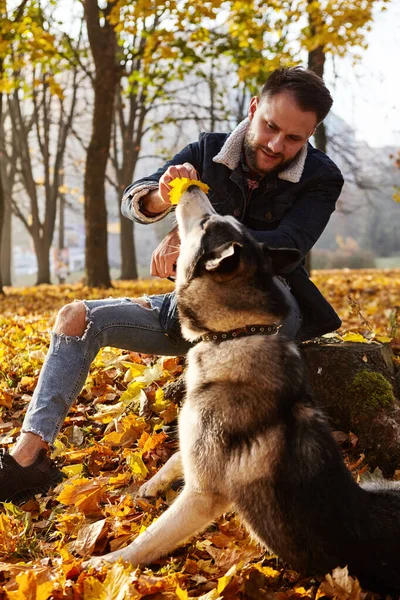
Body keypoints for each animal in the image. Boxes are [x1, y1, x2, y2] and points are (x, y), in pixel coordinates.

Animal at [86, 189, 400, 596]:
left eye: (207, 223)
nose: (191, 188)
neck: (236, 336)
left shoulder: (203, 496)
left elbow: (149, 538)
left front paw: (106, 562)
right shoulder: (196, 445)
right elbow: (176, 457)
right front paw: (152, 484)